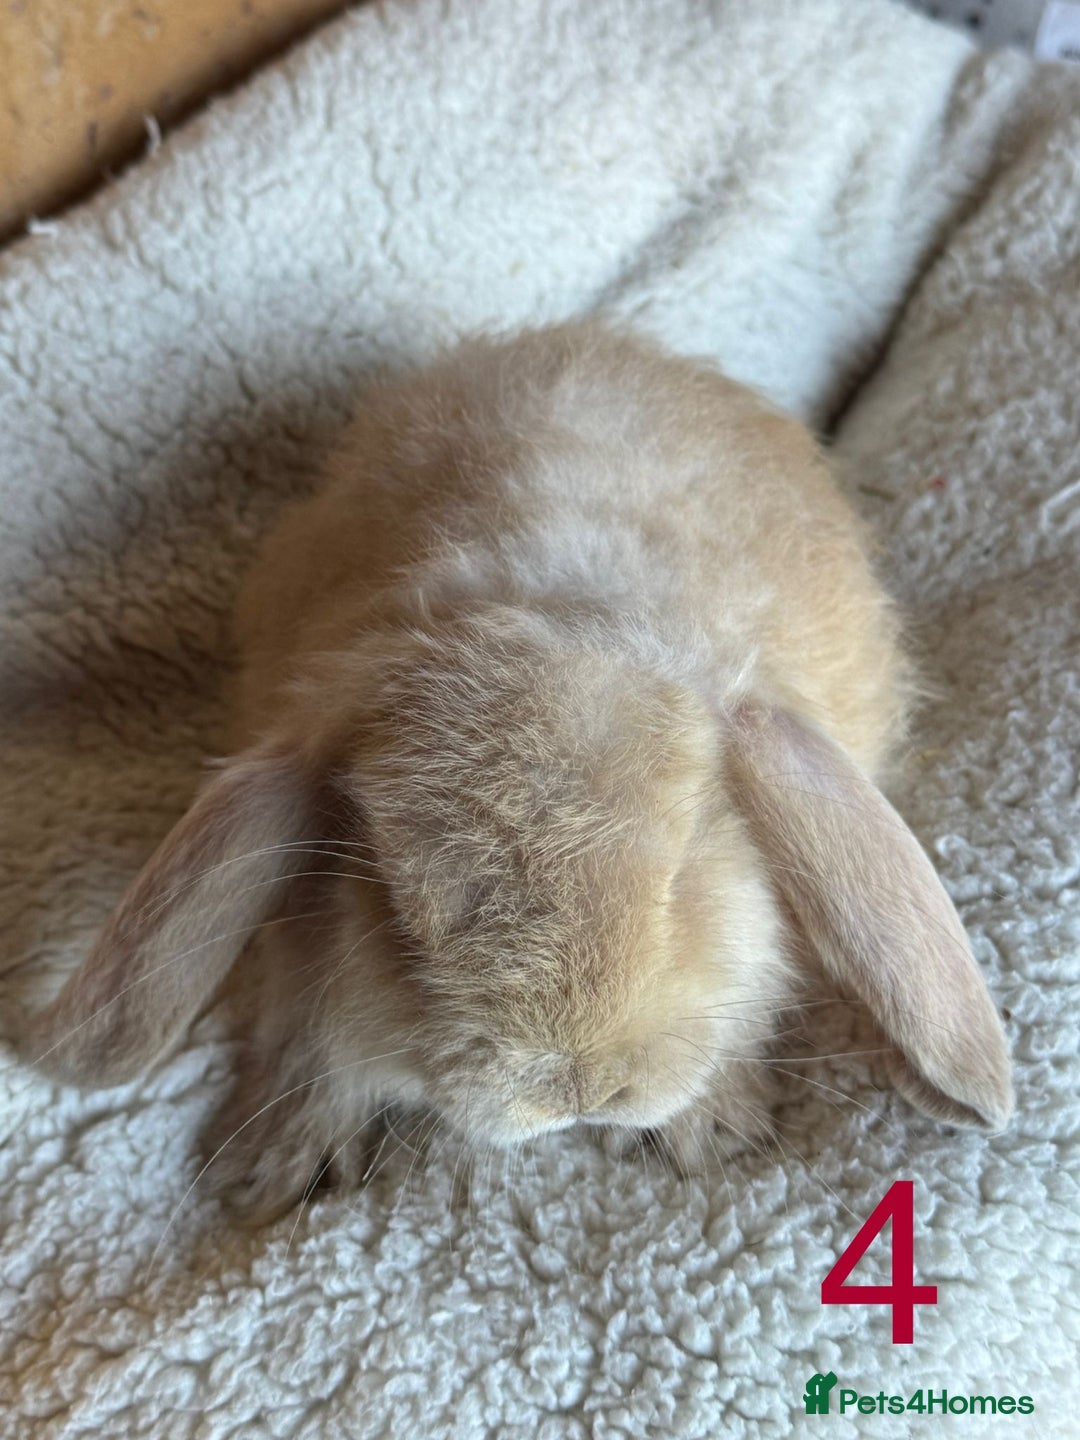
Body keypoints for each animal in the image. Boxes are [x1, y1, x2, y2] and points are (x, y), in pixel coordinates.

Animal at [21, 322, 1013, 1223]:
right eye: (391, 907)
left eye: (683, 873)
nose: (576, 1089)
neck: (552, 612)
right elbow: (309, 1041)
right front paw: (275, 1167)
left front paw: (707, 1130)